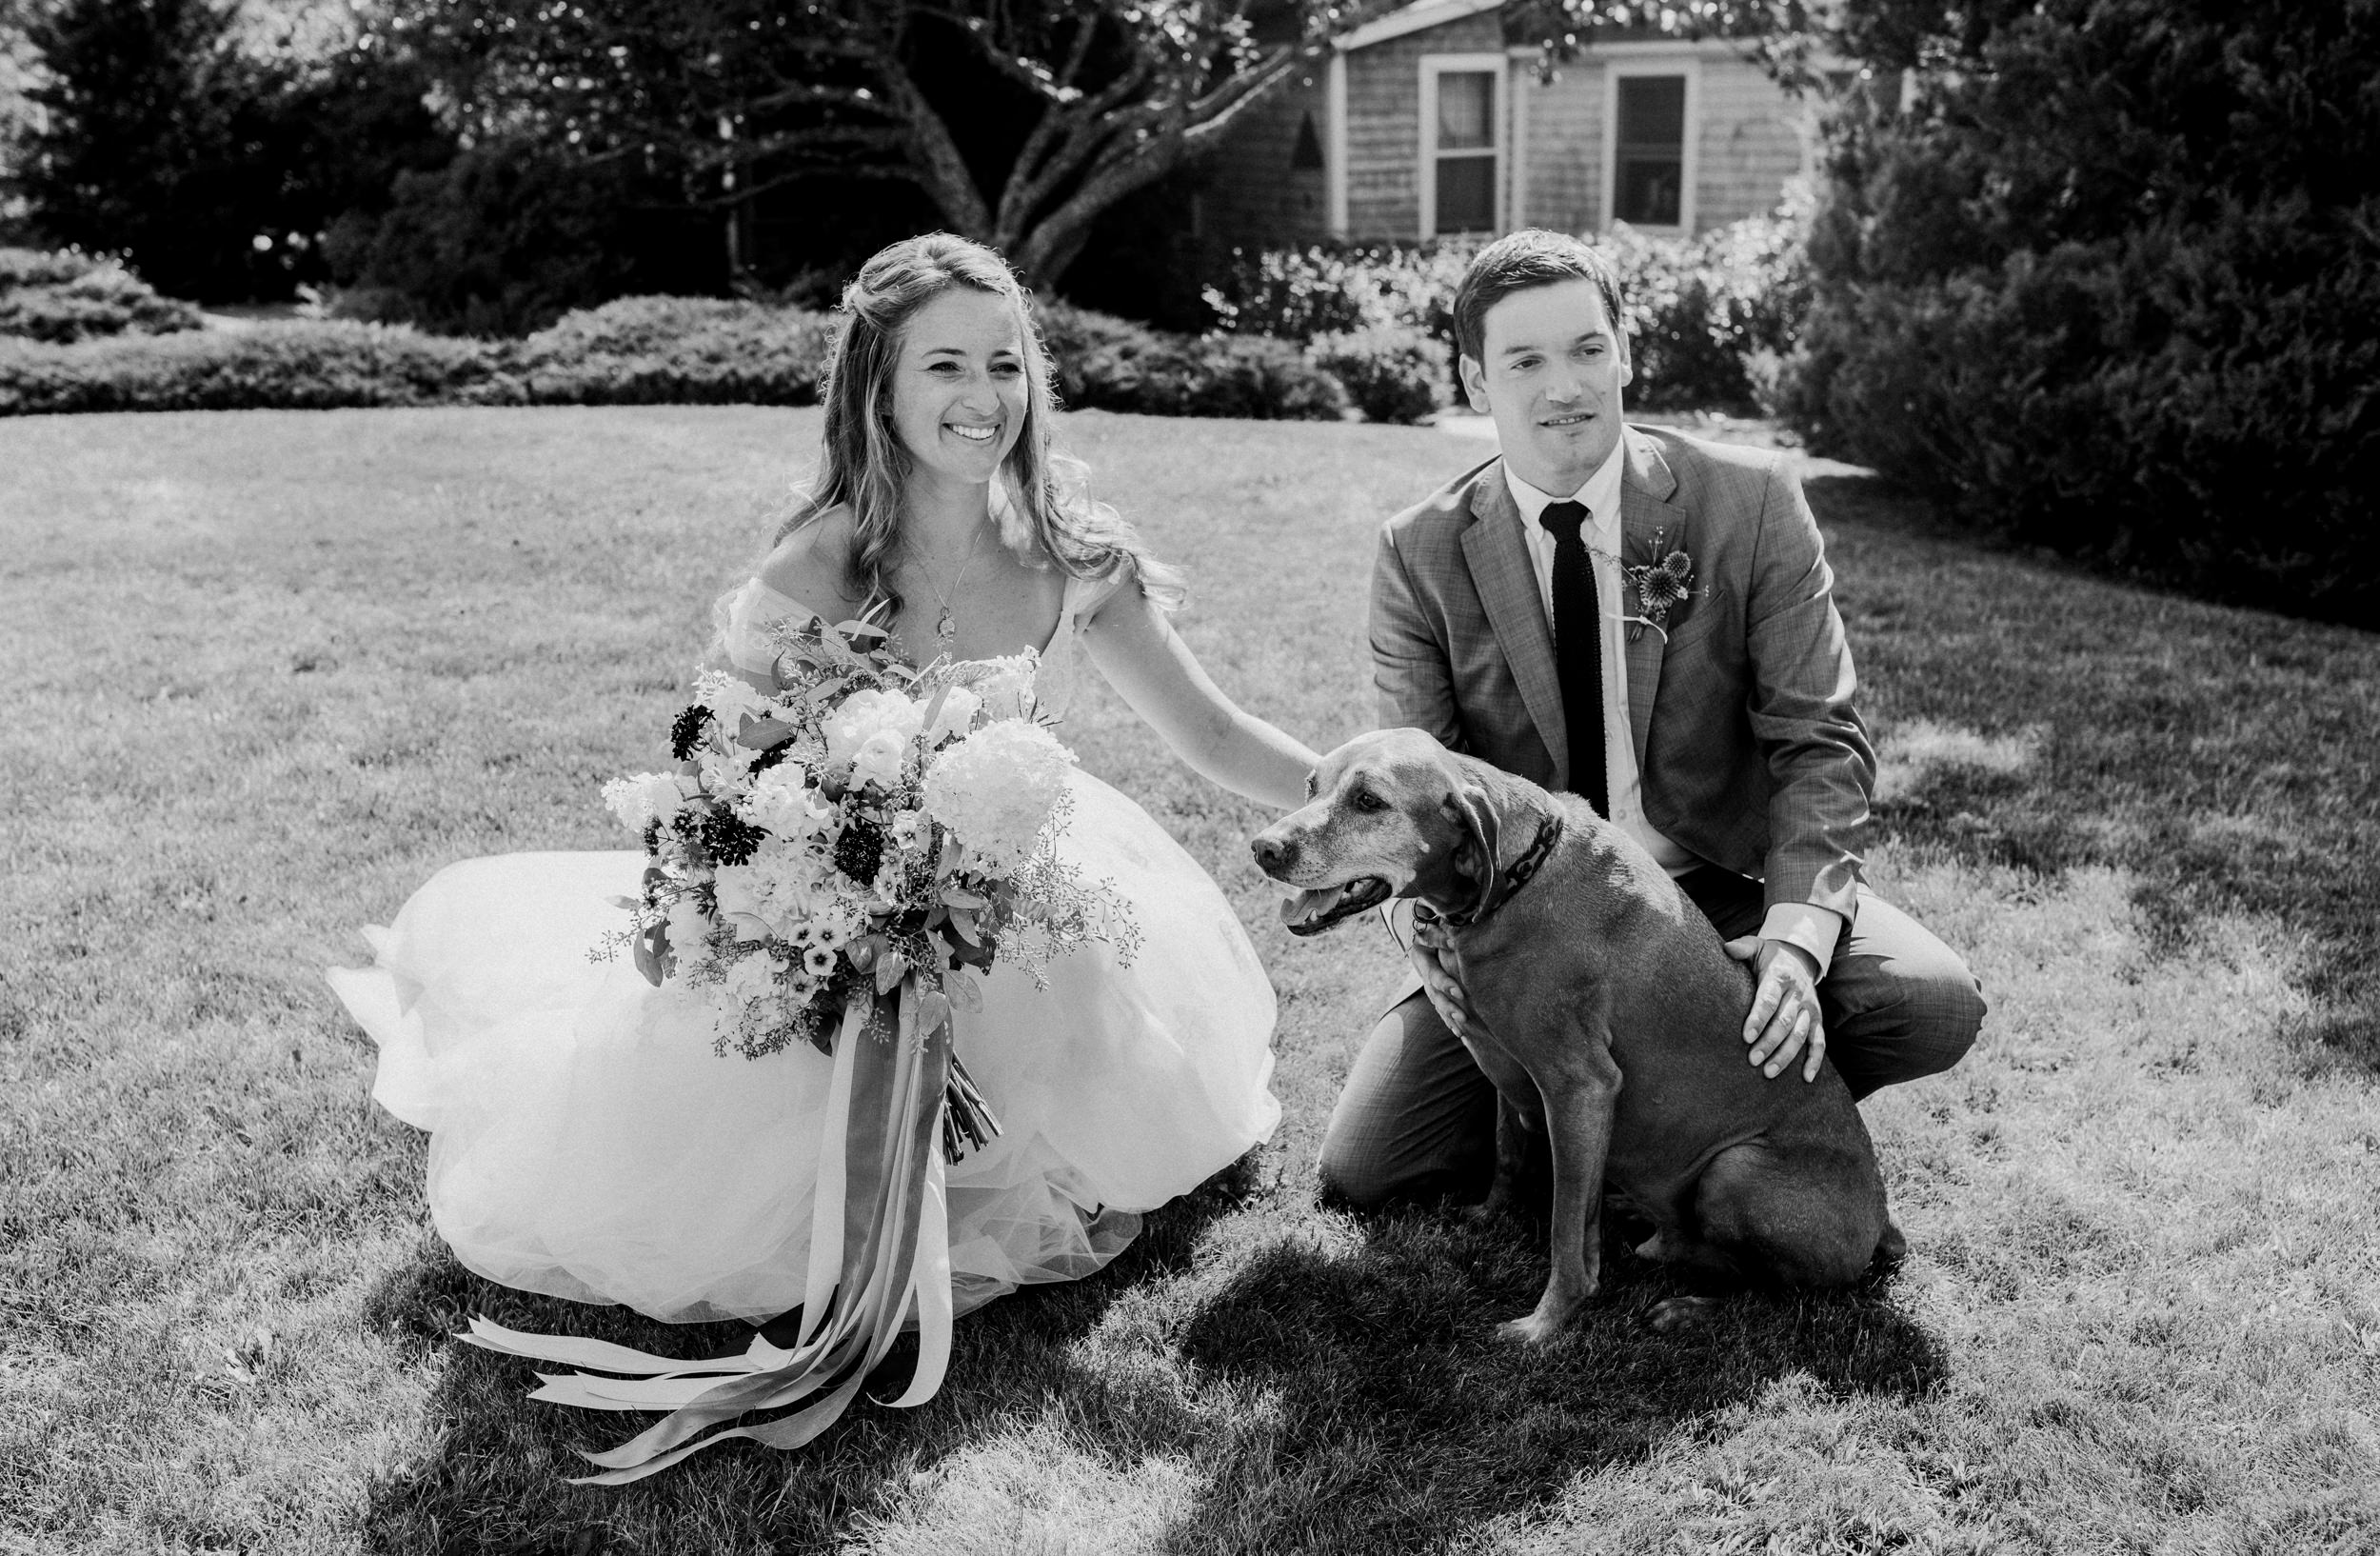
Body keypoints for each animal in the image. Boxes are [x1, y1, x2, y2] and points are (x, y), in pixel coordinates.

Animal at [1247, 732, 1894, 1342]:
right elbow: (1508, 1157)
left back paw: (1687, 1307)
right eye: (1310, 786)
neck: (1514, 881)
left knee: (1776, 1294)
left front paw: (1545, 1325)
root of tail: (1884, 1223)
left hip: (1733, 1169)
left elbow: (1564, 1228)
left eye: (1368, 801)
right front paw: (1489, 1216)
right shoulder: (1503, 1062)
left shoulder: (1581, 1088)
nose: (1263, 848)